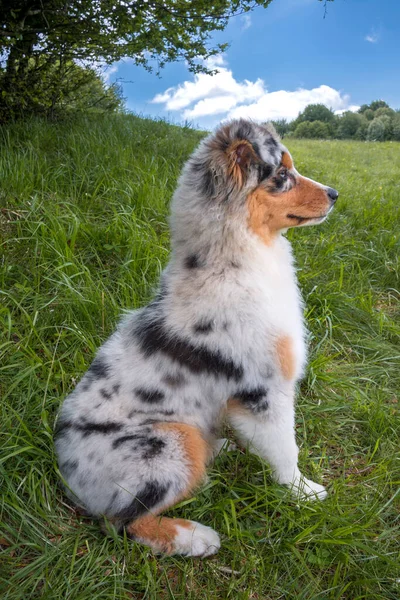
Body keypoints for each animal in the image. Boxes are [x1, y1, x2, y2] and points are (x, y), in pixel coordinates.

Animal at [55, 117, 338, 556]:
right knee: (125, 523)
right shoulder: (264, 390)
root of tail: (65, 474)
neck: (231, 263)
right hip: (170, 442)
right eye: (281, 176)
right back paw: (197, 537)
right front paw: (304, 493)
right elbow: (284, 449)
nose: (335, 195)